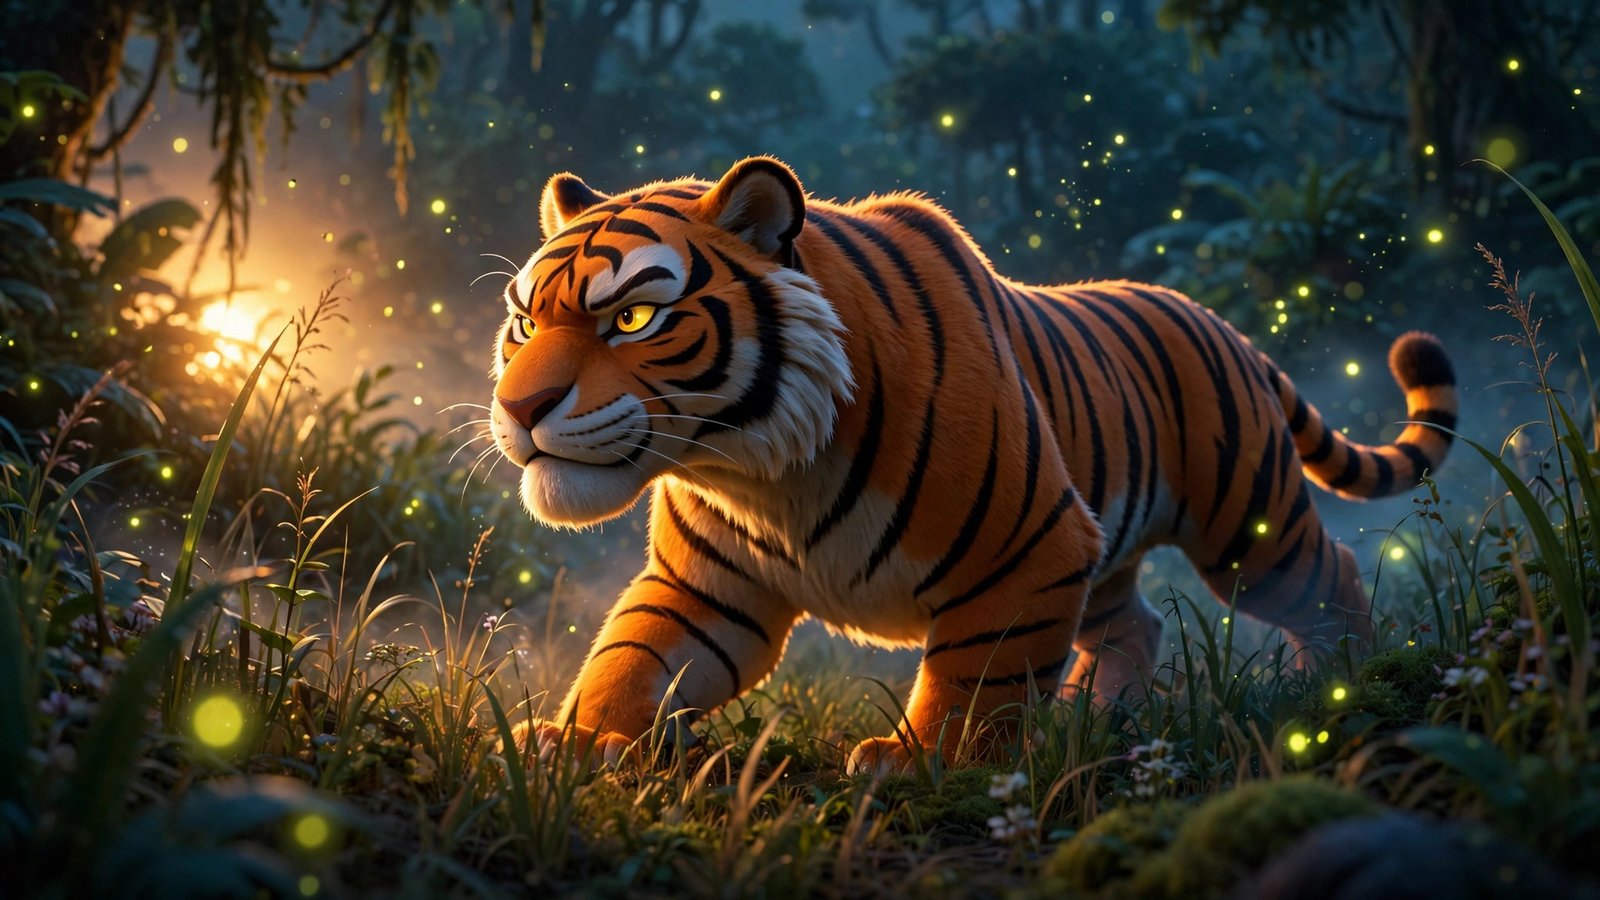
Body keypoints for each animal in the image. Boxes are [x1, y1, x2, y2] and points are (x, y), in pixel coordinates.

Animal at [487, 156, 1457, 775]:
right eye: (527, 323)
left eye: (632, 321)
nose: (518, 409)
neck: (762, 467)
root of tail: (1227, 327)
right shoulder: (708, 587)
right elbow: (632, 654)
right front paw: (580, 741)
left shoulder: (1024, 552)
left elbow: (976, 676)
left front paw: (921, 763)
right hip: (1106, 546)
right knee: (1134, 626)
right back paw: (1095, 715)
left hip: (1241, 526)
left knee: (1327, 570)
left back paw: (1340, 679)